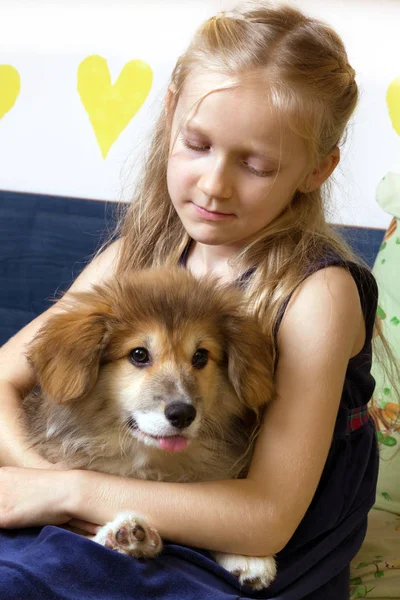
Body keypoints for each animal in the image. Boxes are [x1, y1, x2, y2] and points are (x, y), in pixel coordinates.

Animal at [23, 268, 276, 592]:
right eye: (139, 354)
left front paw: (246, 555)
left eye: (200, 356)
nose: (182, 414)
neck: (149, 460)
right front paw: (123, 534)